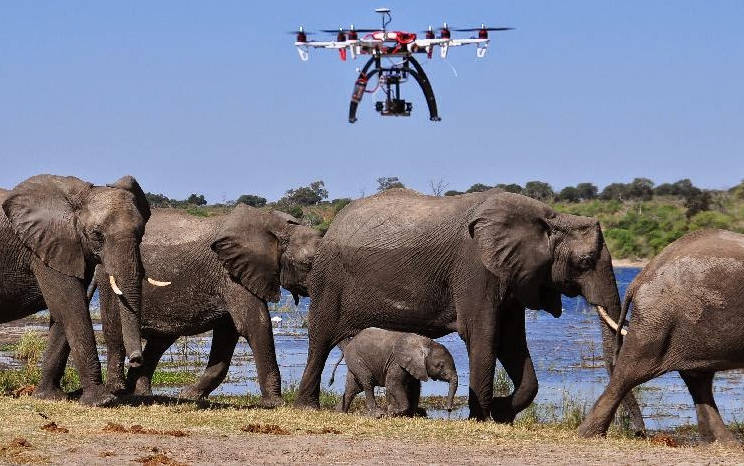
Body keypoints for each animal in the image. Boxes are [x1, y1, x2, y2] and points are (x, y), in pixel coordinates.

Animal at [0, 174, 163, 404]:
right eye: (97, 234)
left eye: (141, 233)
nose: (136, 359)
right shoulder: (43, 247)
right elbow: (72, 308)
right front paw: (102, 401)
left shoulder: (67, 248)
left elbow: (63, 313)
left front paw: (49, 397)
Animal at [38, 204, 322, 404]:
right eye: (308, 264)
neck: (275, 225)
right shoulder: (230, 275)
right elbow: (254, 324)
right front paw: (274, 403)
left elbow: (228, 334)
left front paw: (188, 396)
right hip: (111, 280)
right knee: (116, 335)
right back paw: (118, 390)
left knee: (159, 342)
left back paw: (140, 393)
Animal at [328, 326, 456, 416]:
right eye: (440, 366)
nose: (449, 410)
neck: (424, 342)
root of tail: (350, 343)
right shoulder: (397, 362)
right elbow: (392, 383)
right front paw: (394, 412)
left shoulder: (414, 366)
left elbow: (415, 387)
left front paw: (412, 414)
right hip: (356, 358)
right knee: (367, 382)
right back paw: (377, 414)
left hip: (354, 361)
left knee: (353, 387)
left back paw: (340, 412)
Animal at [580, 229, 744, 444]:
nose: (639, 433)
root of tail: (642, 275)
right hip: (657, 319)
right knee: (629, 372)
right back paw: (588, 435)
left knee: (699, 379)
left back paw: (724, 443)